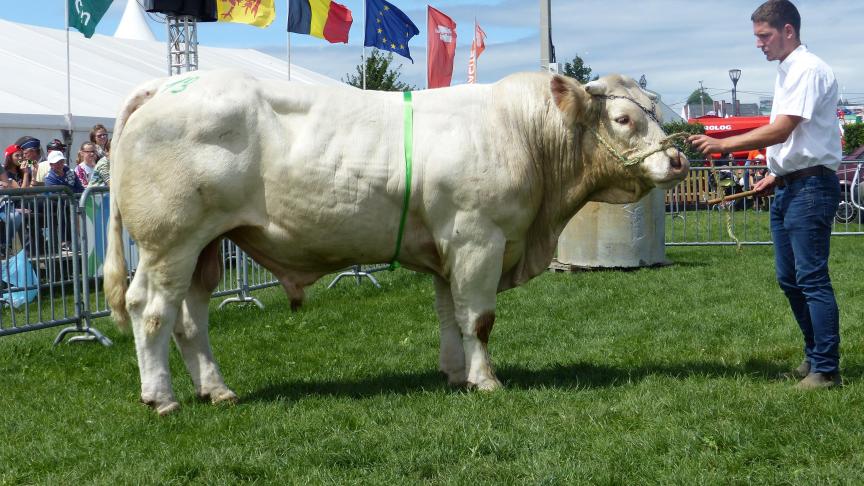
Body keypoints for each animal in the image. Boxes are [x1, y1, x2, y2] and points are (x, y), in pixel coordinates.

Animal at [104, 71, 688, 414]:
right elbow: (479, 318)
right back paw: (161, 398)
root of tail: (168, 84)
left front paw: (455, 374)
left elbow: (450, 315)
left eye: (657, 112)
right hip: (169, 240)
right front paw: (486, 381)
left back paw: (216, 389)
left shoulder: (448, 248)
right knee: (150, 310)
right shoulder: (478, 237)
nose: (679, 160)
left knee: (190, 318)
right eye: (623, 119)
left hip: (208, 245)